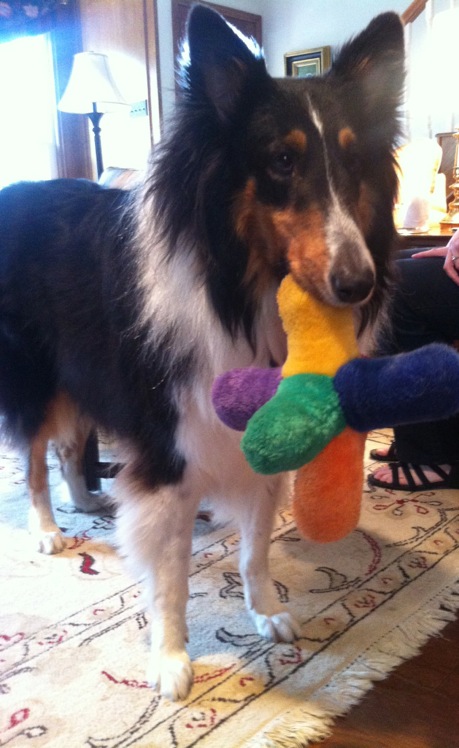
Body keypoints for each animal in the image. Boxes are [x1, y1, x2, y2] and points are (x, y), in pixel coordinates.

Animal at [0, 6, 404, 699]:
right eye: (281, 160)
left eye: (354, 164)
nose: (359, 284)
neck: (240, 289)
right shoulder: (168, 448)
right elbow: (170, 576)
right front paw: (169, 660)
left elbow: (255, 548)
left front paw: (266, 613)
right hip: (38, 374)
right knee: (33, 454)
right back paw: (50, 530)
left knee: (68, 445)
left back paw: (90, 501)